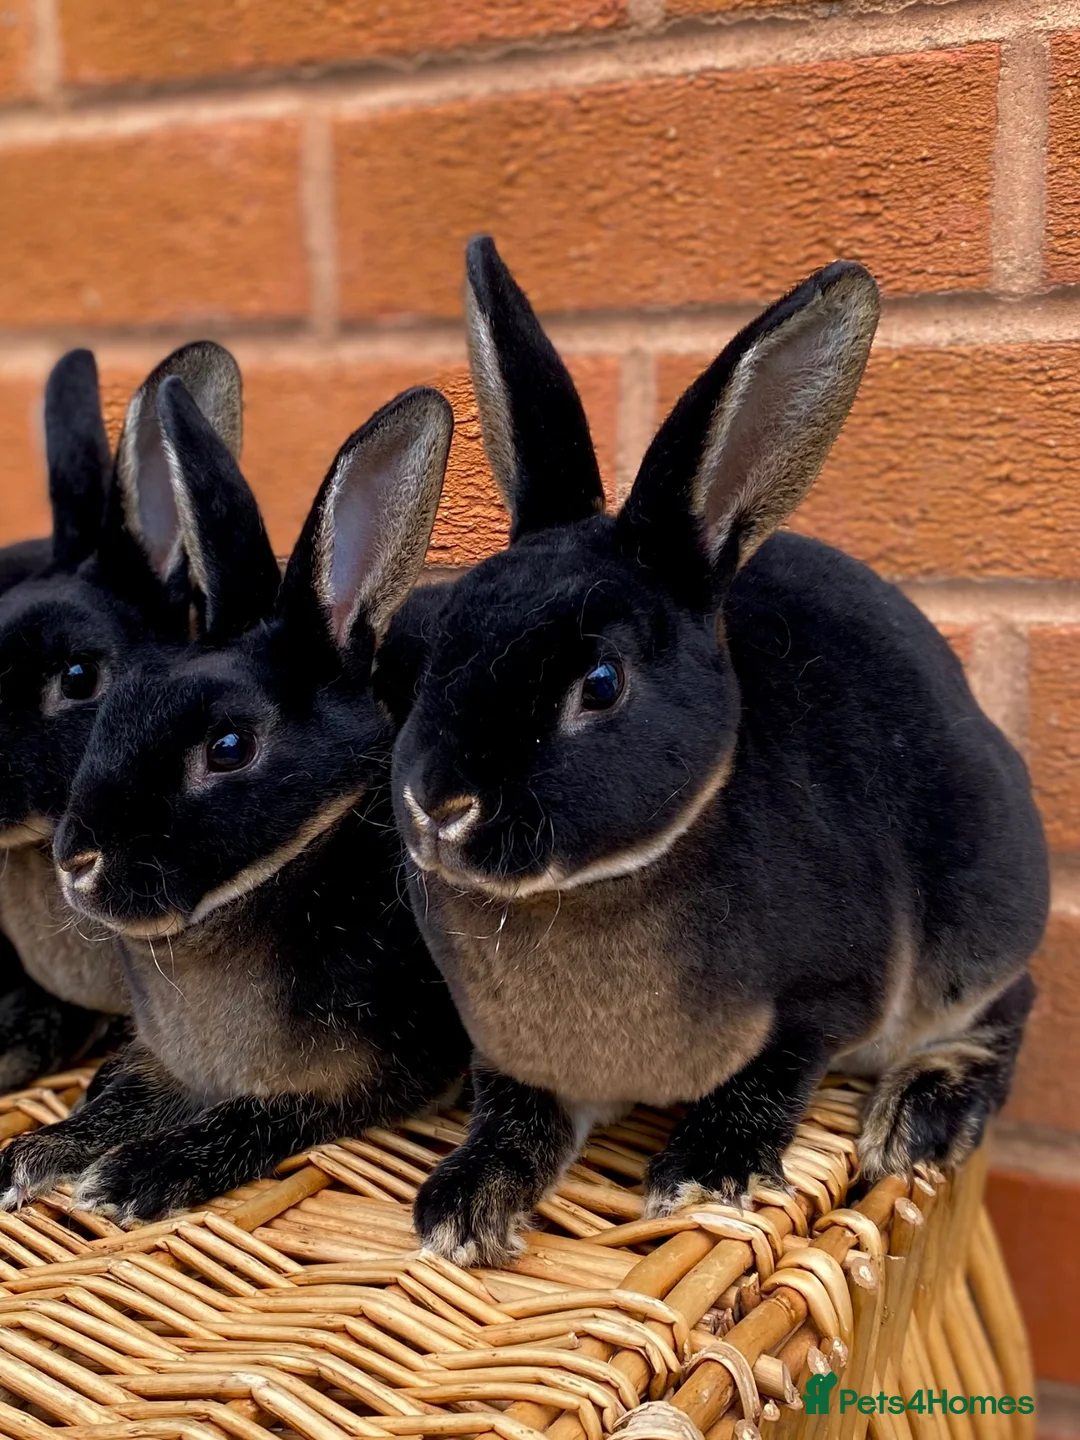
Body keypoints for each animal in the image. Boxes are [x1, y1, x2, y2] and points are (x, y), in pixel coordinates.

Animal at [385, 237, 1050, 1267]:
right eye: (441, 638)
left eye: (602, 682)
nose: (438, 806)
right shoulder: (511, 1052)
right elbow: (513, 1113)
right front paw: (462, 1208)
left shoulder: (830, 995)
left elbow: (774, 1072)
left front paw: (705, 1175)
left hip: (976, 928)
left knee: (1011, 1007)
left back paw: (918, 1120)